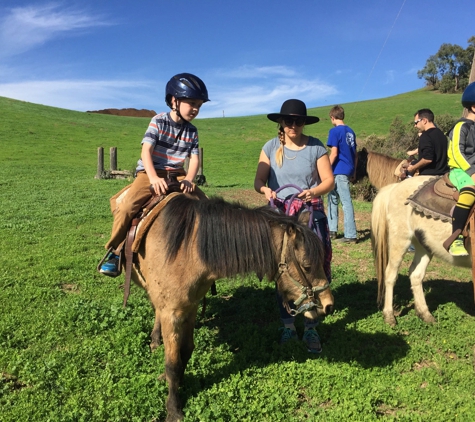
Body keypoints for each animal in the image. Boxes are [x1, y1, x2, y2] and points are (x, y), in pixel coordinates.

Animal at [127, 195, 334, 422]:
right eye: (307, 266)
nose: (328, 304)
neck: (187, 251)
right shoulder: (171, 313)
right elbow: (172, 363)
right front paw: (173, 408)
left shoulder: (191, 307)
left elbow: (186, 351)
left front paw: (176, 381)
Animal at [372, 176, 472, 324]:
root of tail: (395, 186)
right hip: (400, 240)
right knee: (390, 274)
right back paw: (389, 315)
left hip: (424, 245)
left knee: (416, 275)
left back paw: (424, 314)